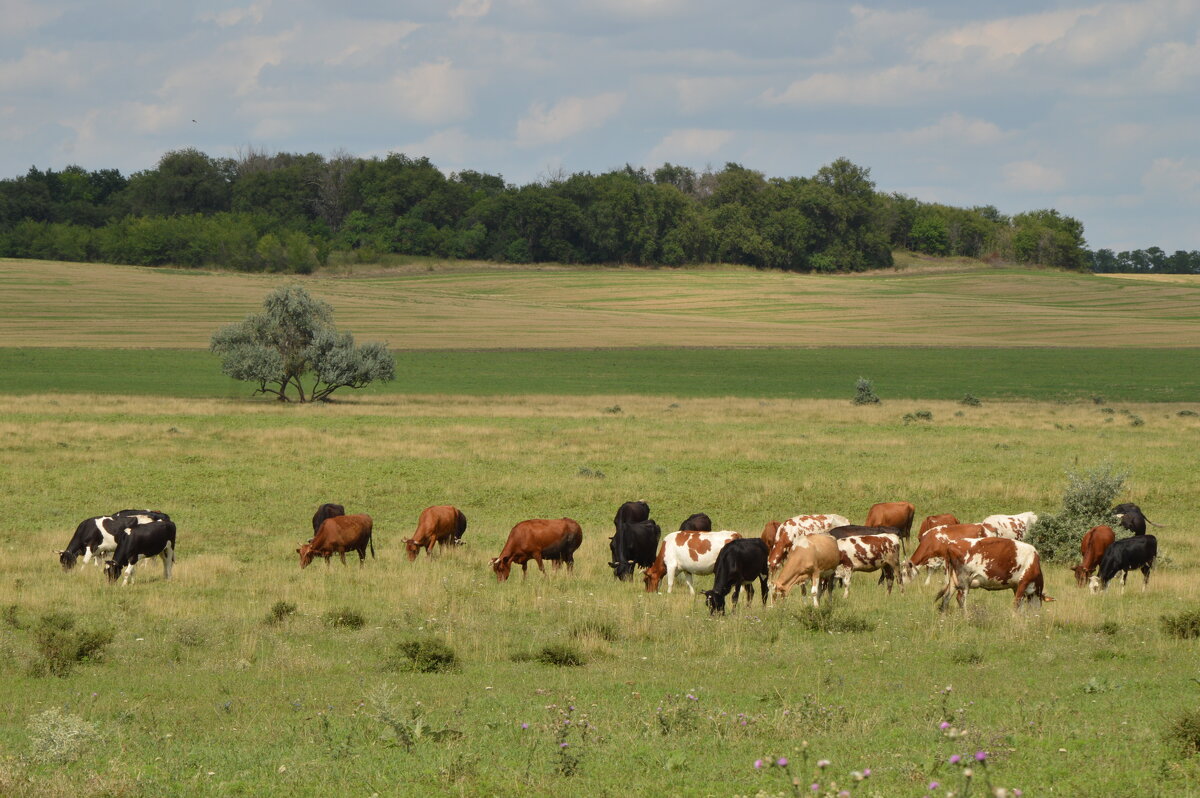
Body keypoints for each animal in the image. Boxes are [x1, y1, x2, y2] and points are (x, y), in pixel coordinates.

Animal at [907, 535, 1051, 609]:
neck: (1034, 561)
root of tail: (951, 545)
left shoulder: (1015, 586)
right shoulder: (1023, 583)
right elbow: (1017, 604)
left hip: (953, 580)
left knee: (946, 597)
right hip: (964, 580)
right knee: (961, 598)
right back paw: (966, 618)